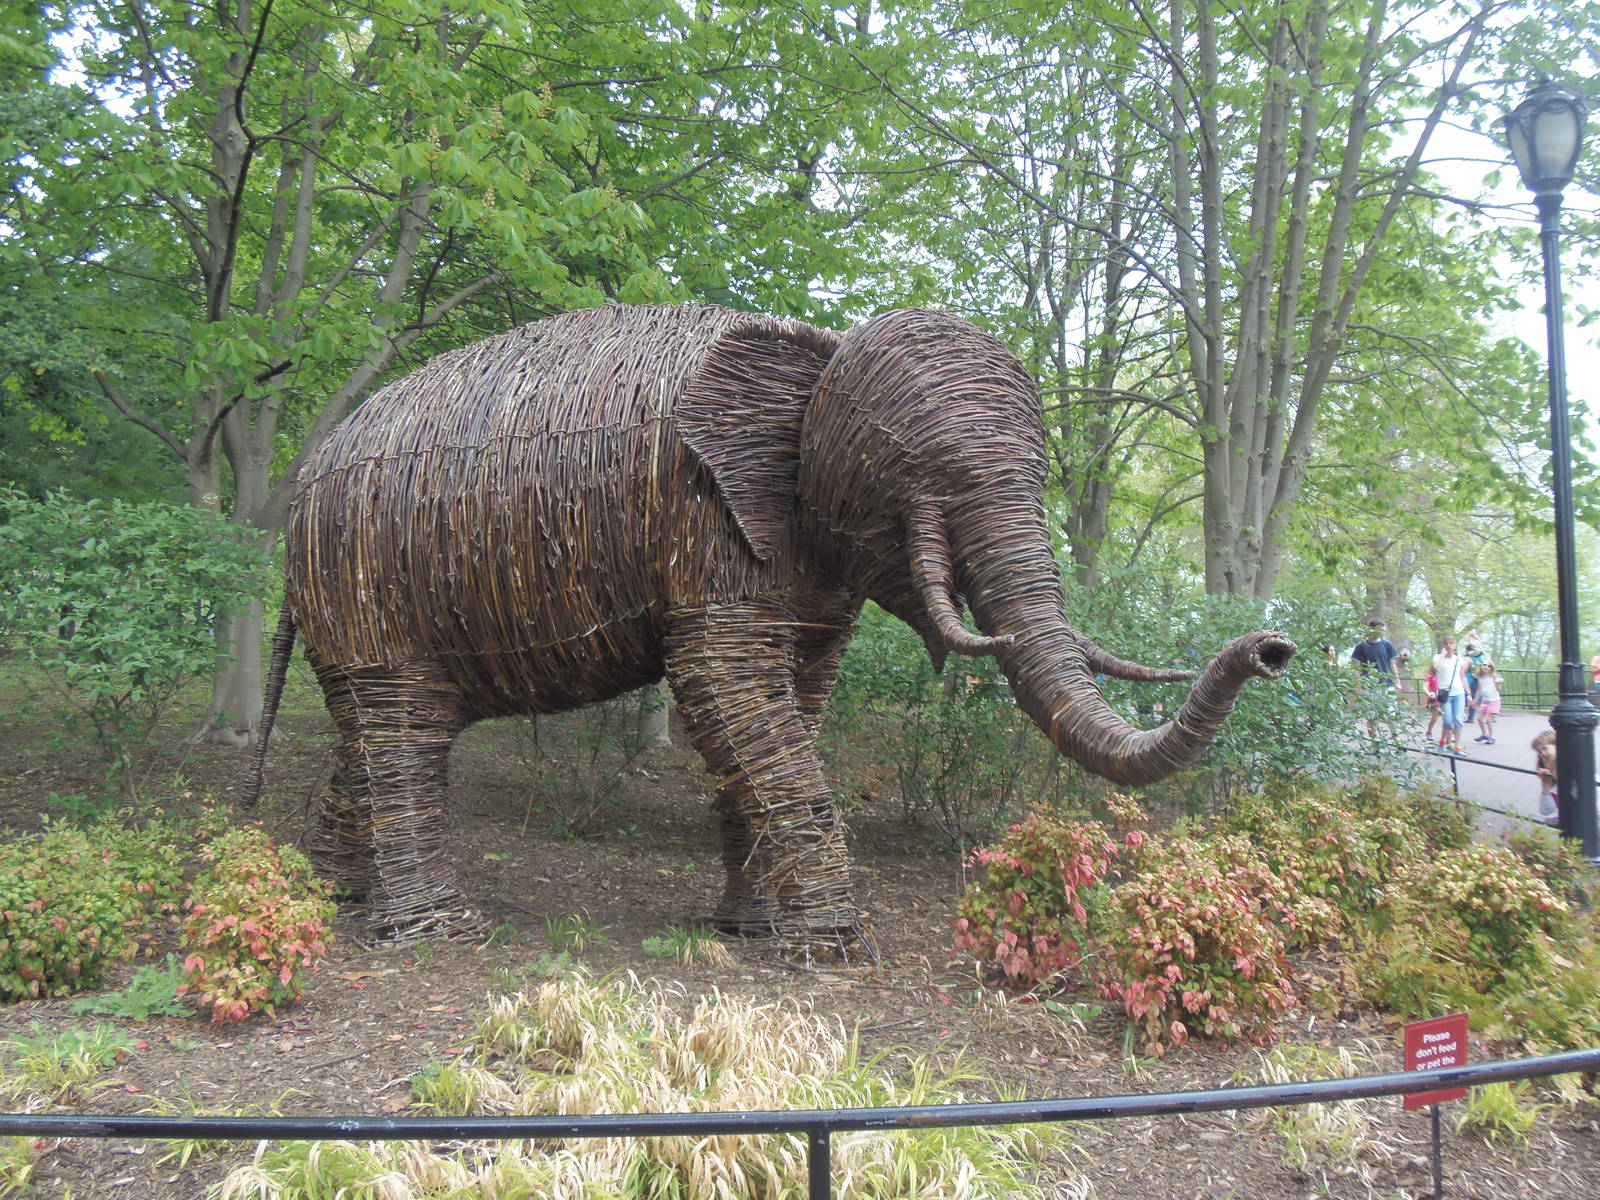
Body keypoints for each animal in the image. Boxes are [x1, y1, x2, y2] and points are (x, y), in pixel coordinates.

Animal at [242, 303, 1294, 946]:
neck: (813, 356)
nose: (1274, 646)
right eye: (925, 494)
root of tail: (308, 482)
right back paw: (435, 932)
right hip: (369, 585)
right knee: (405, 741)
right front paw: (833, 945)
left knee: (362, 738)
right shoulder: (702, 524)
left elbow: (799, 696)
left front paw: (751, 931)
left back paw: (337, 898)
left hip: (359, 610)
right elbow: (726, 691)